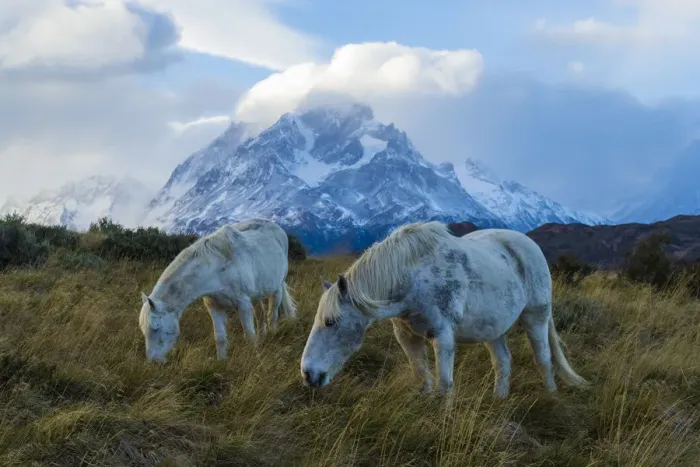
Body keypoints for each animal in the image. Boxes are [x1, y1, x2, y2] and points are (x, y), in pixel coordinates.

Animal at [138, 218, 297, 363]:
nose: (154, 361)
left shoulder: (243, 304)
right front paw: (221, 361)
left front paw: (254, 357)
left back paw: (273, 334)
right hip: (258, 293)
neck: (216, 270)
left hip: (277, 289)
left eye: (156, 328)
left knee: (272, 315)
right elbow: (219, 337)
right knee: (262, 315)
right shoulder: (214, 306)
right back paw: (263, 337)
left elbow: (249, 335)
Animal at [300, 221, 588, 399]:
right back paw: (499, 399)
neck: (412, 277)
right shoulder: (407, 336)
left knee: (544, 358)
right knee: (503, 361)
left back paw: (551, 396)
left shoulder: (443, 336)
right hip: (493, 329)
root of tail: (529, 245)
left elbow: (445, 384)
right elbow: (422, 376)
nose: (309, 375)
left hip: (536, 317)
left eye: (331, 322)